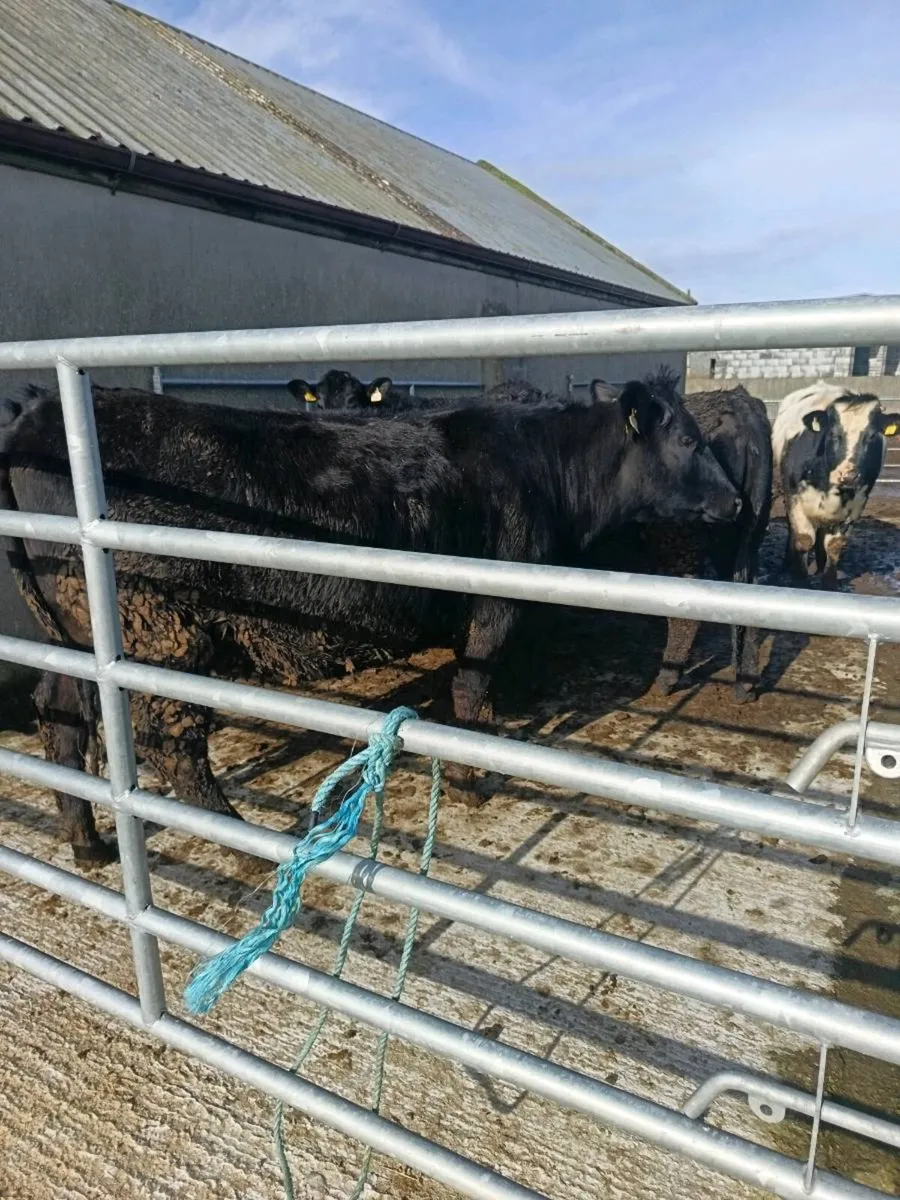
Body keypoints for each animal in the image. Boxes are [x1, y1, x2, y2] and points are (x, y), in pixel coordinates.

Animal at [1, 379, 739, 863]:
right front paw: (474, 780)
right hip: (160, 629)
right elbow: (473, 694)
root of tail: (32, 423)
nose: (734, 502)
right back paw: (244, 845)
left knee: (60, 717)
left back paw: (88, 844)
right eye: (687, 439)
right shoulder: (493, 609)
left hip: (74, 634)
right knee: (170, 740)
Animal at [772, 383, 900, 587]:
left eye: (872, 436)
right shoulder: (794, 497)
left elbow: (834, 545)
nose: (849, 476)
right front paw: (800, 581)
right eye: (833, 434)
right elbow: (803, 539)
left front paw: (829, 583)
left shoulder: (856, 505)